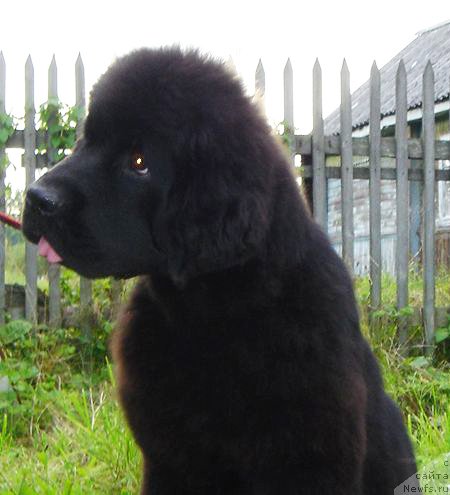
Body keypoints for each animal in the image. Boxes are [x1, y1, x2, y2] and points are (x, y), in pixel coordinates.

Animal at [22, 47, 418, 495]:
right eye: (87, 139)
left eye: (139, 162)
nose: (36, 198)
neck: (207, 315)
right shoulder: (168, 458)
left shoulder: (307, 460)